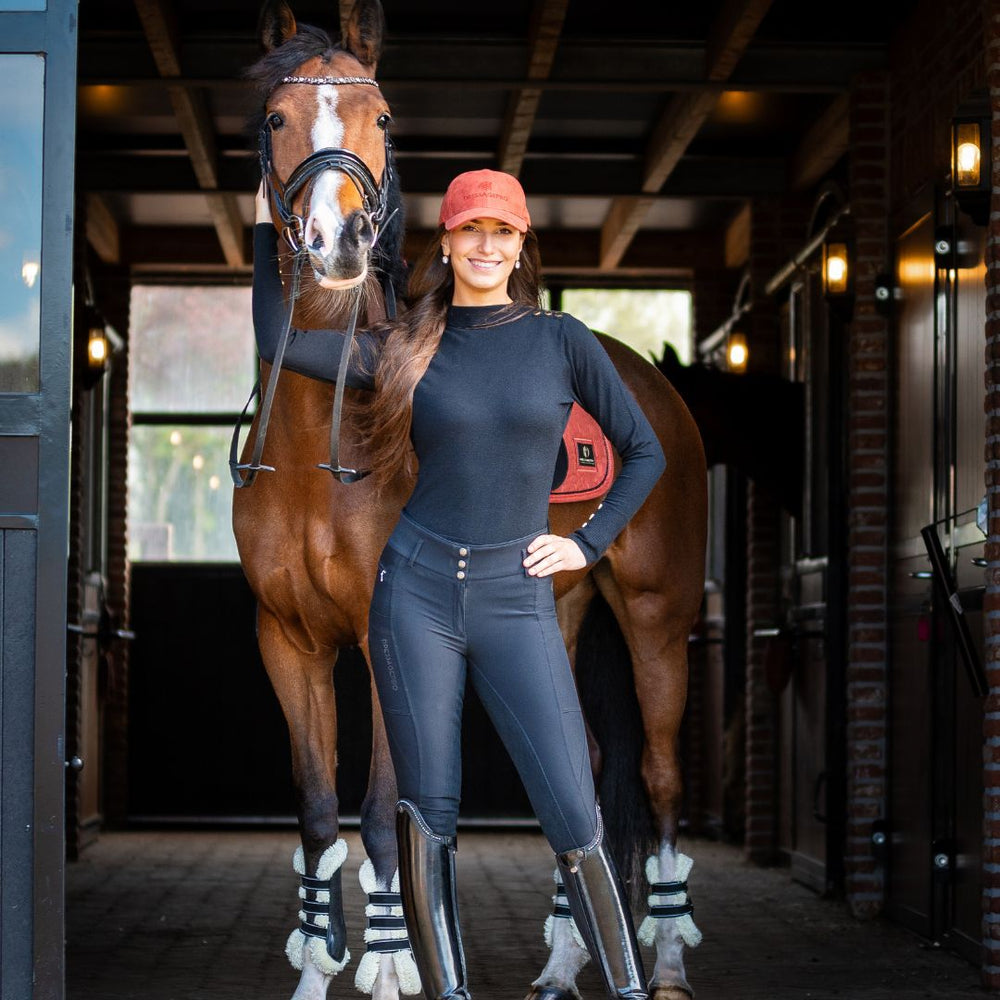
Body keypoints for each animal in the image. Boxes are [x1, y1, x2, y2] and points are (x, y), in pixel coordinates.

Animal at [232, 3, 712, 996]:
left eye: (381, 117)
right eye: (275, 118)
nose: (337, 241)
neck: (318, 445)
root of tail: (648, 379)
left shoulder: (378, 640)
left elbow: (383, 813)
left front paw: (385, 967)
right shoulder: (285, 640)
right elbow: (315, 814)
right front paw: (313, 969)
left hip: (656, 617)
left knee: (658, 777)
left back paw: (668, 959)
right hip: (558, 612)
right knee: (581, 779)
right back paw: (563, 960)